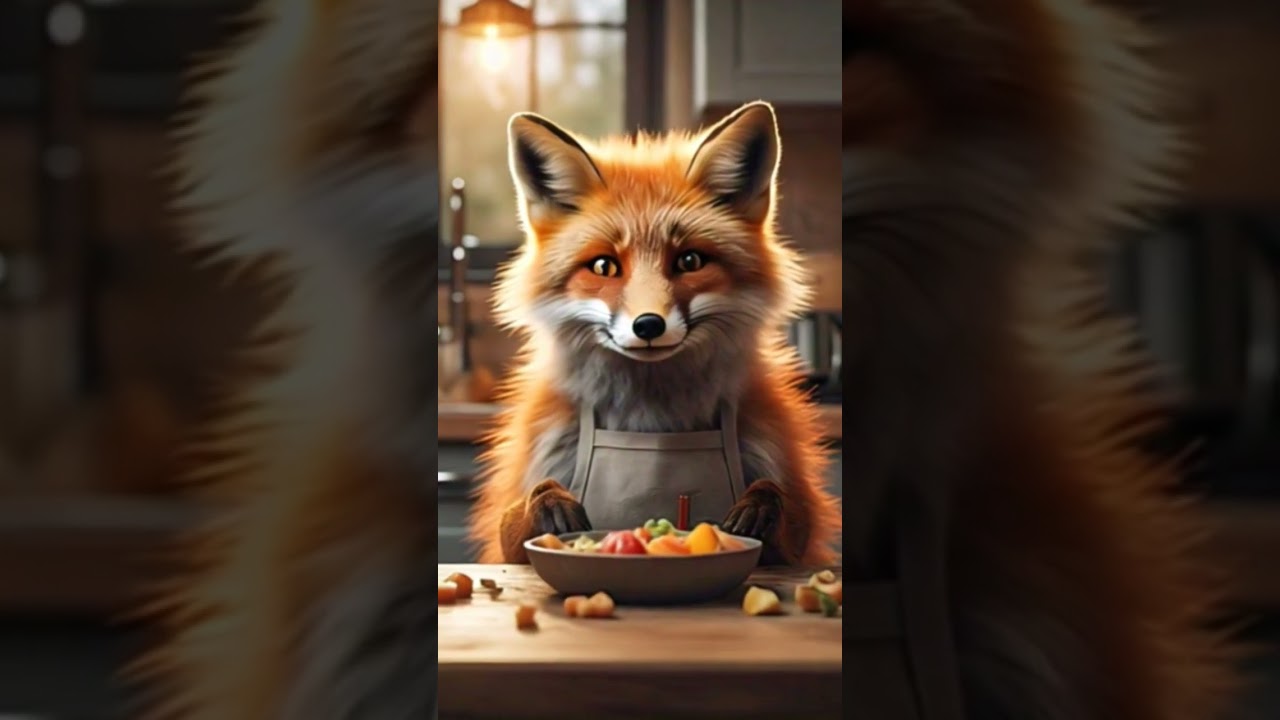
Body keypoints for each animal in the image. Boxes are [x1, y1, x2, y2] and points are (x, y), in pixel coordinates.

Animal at [465, 101, 843, 567]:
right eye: (604, 266)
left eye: (689, 260)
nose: (648, 325)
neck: (653, 422)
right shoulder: (518, 511)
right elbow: (523, 512)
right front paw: (549, 502)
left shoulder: (796, 524)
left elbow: (781, 506)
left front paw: (761, 505)